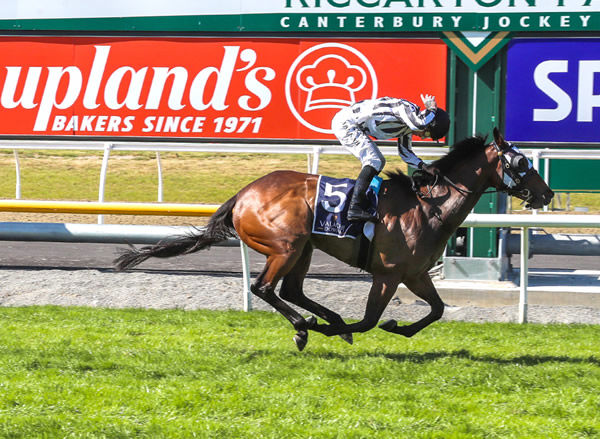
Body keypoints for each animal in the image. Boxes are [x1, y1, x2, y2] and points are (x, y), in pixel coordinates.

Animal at [113, 127, 552, 350]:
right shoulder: (388, 274)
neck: (428, 206)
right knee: (264, 288)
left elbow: (438, 310)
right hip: (286, 245)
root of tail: (244, 193)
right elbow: (371, 320)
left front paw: (399, 328)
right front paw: (360, 326)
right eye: (520, 162)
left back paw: (326, 321)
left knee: (291, 290)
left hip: (305, 248)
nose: (546, 193)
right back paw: (307, 327)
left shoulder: (414, 274)